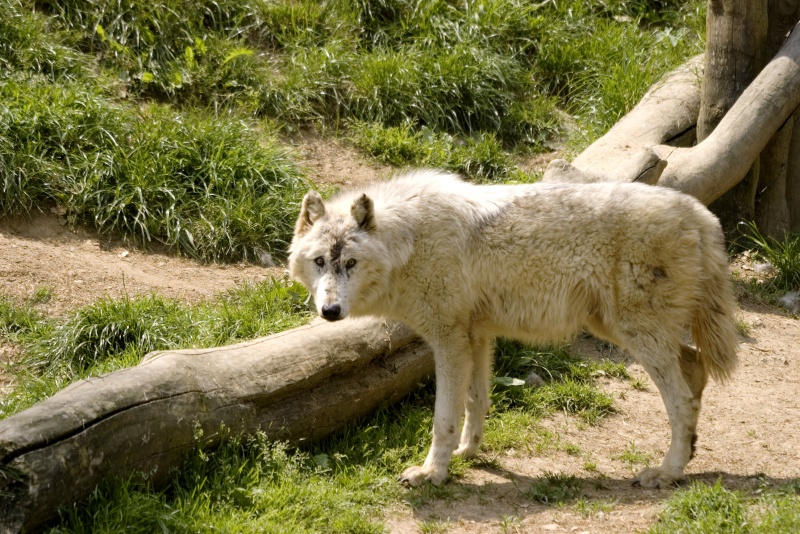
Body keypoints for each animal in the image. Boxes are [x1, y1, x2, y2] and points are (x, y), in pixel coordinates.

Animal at [288, 172, 736, 490]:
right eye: (320, 262)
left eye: (350, 263)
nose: (330, 311)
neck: (409, 241)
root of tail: (700, 212)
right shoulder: (477, 336)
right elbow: (476, 400)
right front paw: (468, 452)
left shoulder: (449, 340)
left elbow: (443, 417)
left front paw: (432, 474)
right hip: (619, 329)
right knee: (694, 368)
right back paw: (688, 456)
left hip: (636, 336)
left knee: (681, 400)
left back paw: (667, 472)